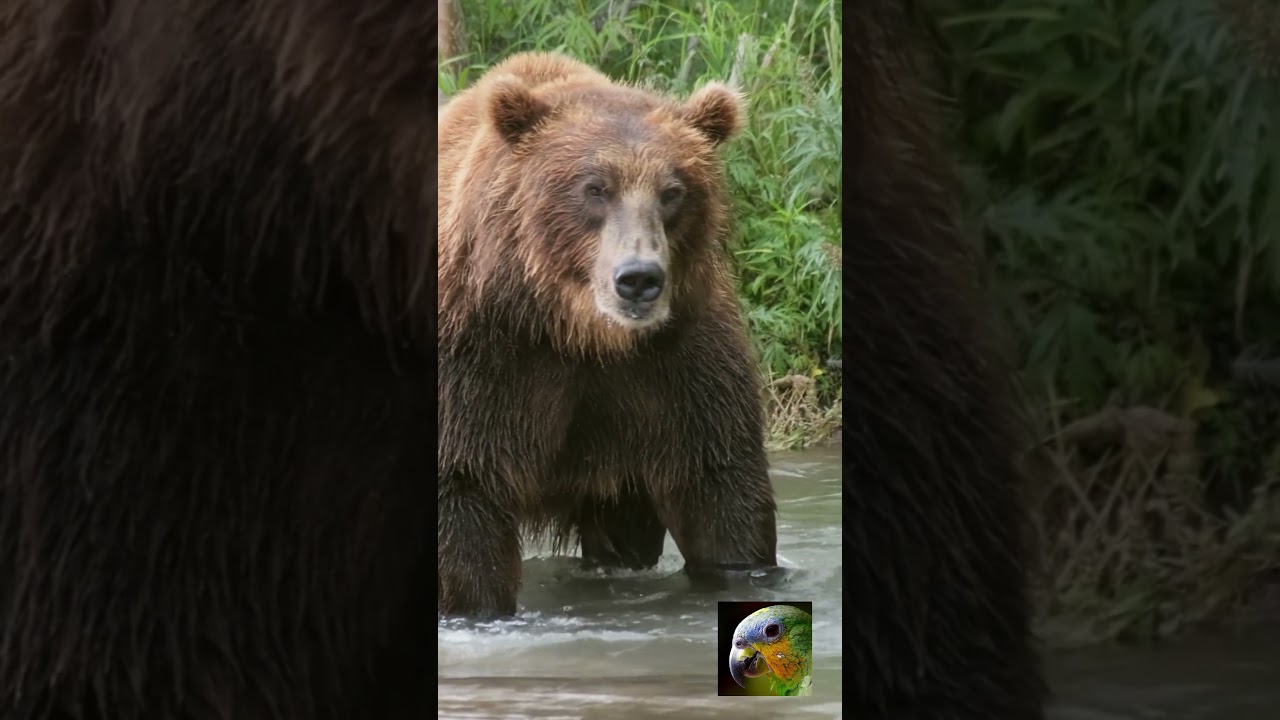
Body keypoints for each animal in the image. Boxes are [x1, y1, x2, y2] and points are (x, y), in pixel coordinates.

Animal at [436, 52, 780, 617]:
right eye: (594, 187)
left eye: (673, 191)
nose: (638, 278)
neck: (575, 332)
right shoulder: (477, 358)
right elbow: (463, 494)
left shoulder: (677, 367)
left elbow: (719, 487)